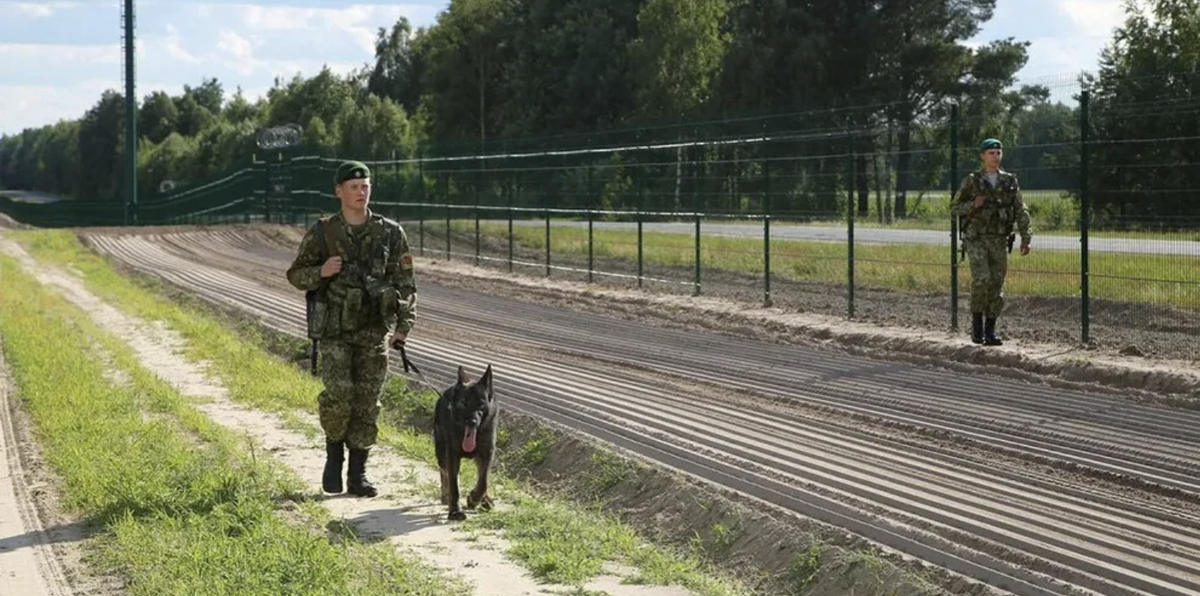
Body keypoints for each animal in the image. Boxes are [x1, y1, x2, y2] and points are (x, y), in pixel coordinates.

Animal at [432, 362, 496, 520]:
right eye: (464, 403)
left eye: (481, 403)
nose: (471, 422)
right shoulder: (452, 456)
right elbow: (454, 485)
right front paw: (454, 511)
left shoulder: (488, 453)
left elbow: (484, 481)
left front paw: (474, 499)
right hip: (441, 453)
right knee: (444, 473)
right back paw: (445, 495)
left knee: (481, 477)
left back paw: (485, 500)